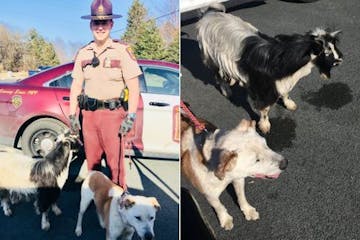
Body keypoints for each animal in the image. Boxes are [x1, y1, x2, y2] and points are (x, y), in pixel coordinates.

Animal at [197, 3, 344, 134]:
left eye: (334, 46)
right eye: (326, 53)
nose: (340, 60)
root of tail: (209, 14)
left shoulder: (282, 82)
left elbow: (285, 93)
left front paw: (289, 104)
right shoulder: (263, 88)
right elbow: (265, 109)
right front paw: (265, 126)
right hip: (211, 58)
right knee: (218, 75)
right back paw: (227, 91)